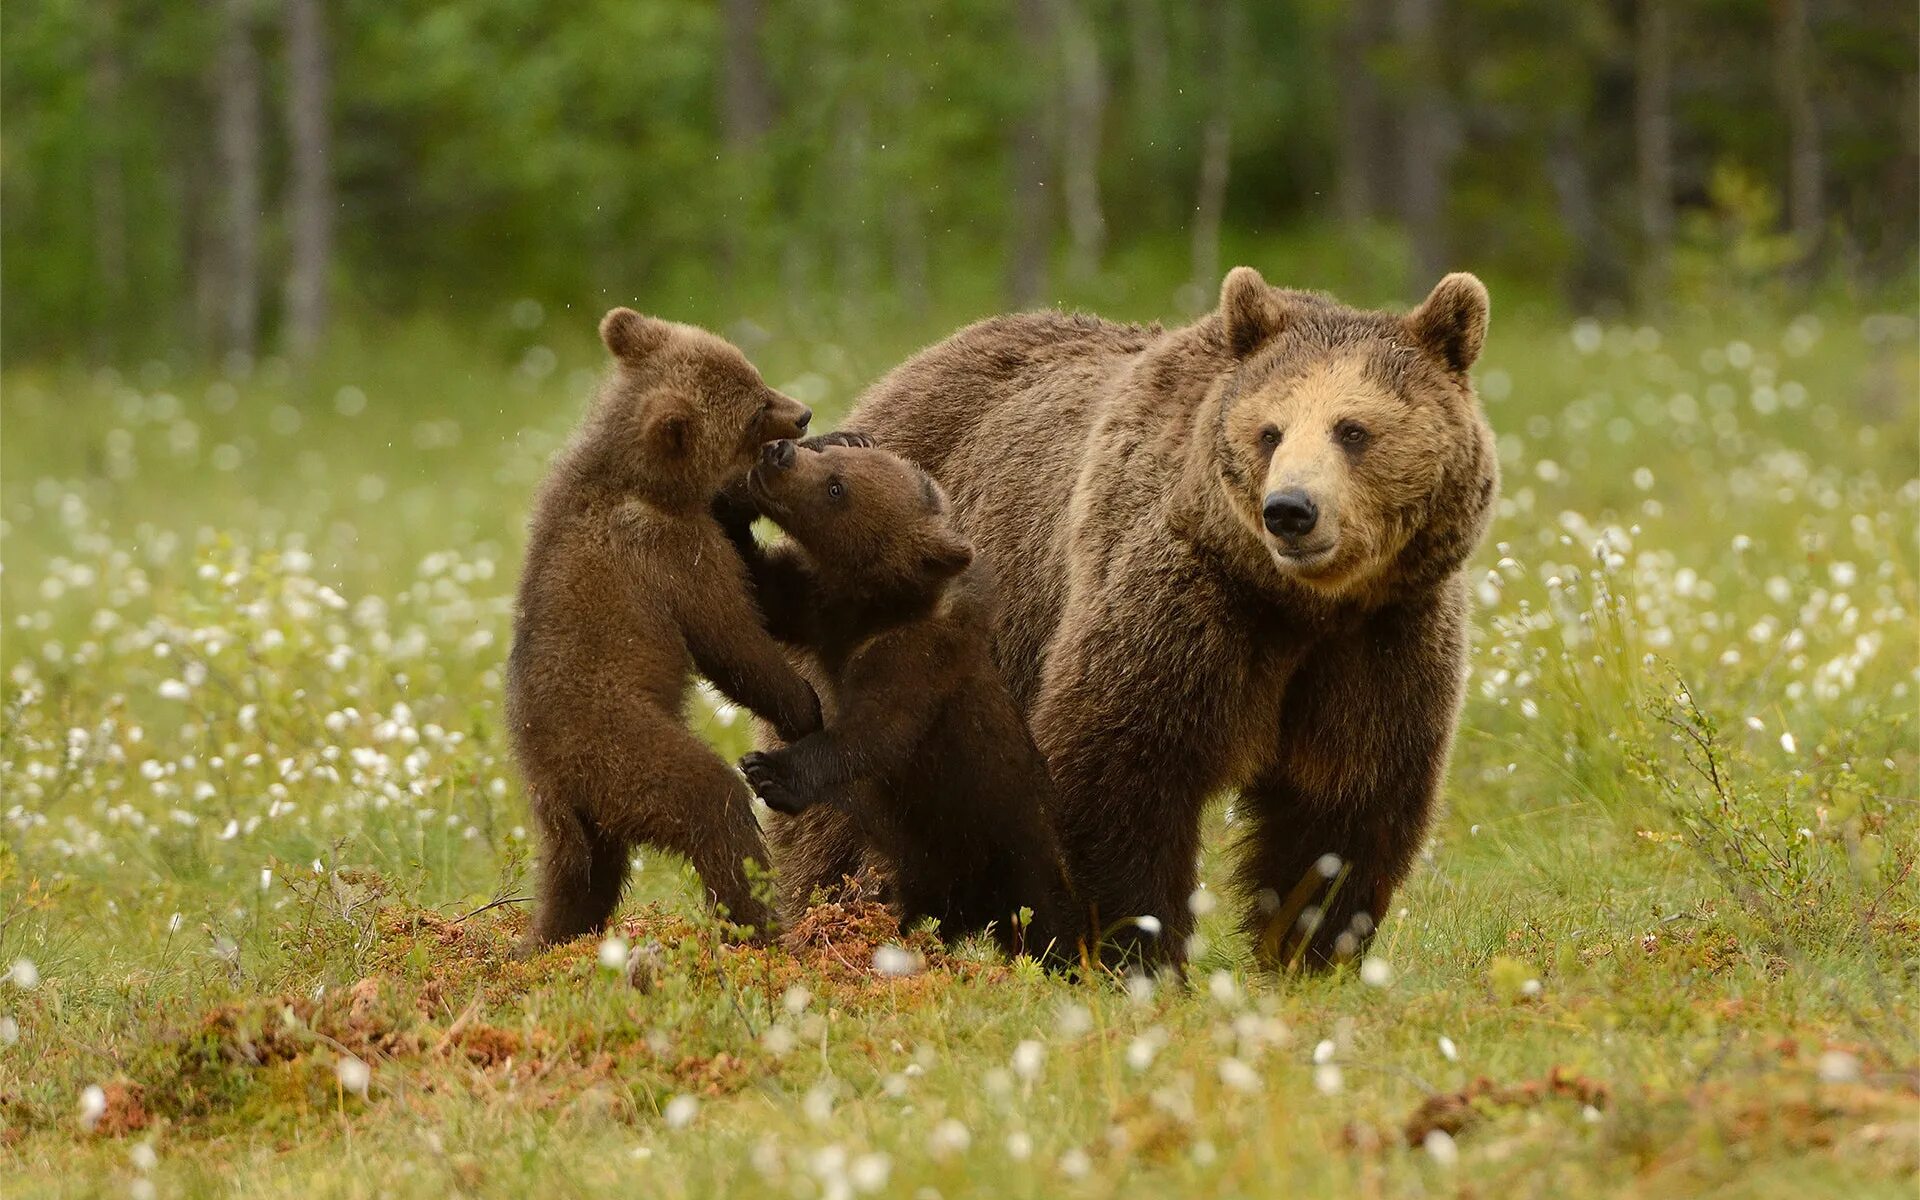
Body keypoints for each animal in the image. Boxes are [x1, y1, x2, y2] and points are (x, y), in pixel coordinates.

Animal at [840, 266, 1497, 967]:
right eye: (1270, 432)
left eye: (1352, 430)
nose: (1290, 510)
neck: (1299, 607)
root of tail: (902, 373)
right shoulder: (1181, 606)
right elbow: (1118, 769)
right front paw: (1130, 950)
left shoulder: (1382, 639)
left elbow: (1343, 804)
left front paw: (1309, 951)